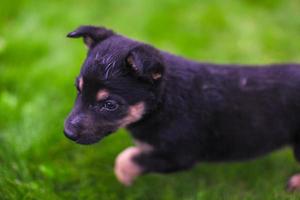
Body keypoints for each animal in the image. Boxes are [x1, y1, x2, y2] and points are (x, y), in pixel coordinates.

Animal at [64, 25, 300, 189]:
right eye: (78, 89)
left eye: (110, 105)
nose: (68, 133)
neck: (164, 101)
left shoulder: (179, 154)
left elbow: (127, 159)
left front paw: (125, 177)